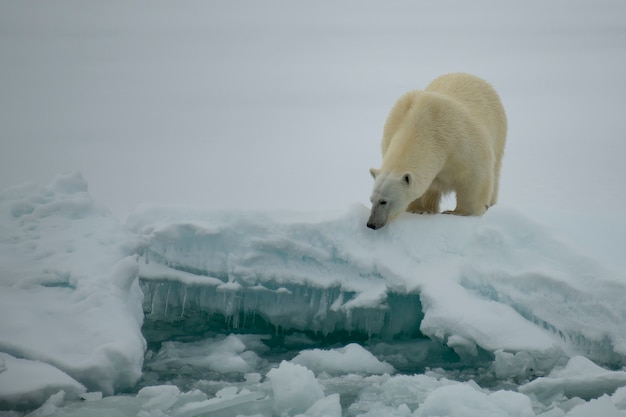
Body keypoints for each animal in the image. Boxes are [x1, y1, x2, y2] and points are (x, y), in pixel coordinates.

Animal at [368, 70, 504, 228]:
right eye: (371, 199)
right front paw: (418, 209)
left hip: (498, 130)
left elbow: (474, 177)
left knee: (495, 171)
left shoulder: (461, 144)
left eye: (384, 201)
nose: (371, 224)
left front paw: (459, 212)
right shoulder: (393, 130)